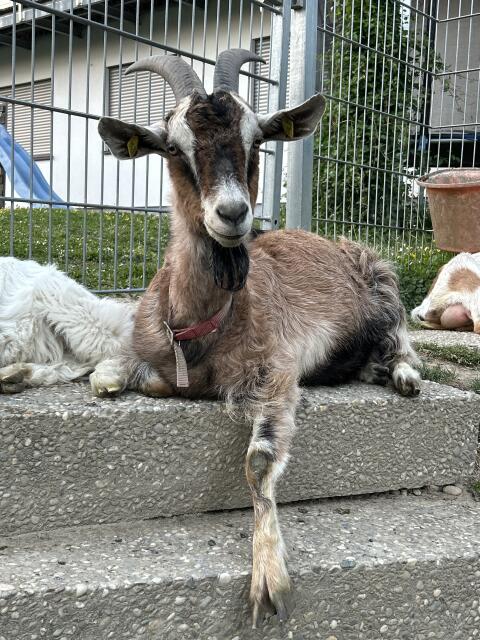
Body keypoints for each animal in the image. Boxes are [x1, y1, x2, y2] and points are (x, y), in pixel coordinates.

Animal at [97, 50, 421, 627]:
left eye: (258, 141)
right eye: (173, 147)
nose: (232, 213)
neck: (205, 328)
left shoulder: (276, 372)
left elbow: (259, 461)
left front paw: (269, 578)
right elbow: (116, 373)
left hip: (381, 274)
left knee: (401, 335)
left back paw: (403, 373)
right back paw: (369, 368)